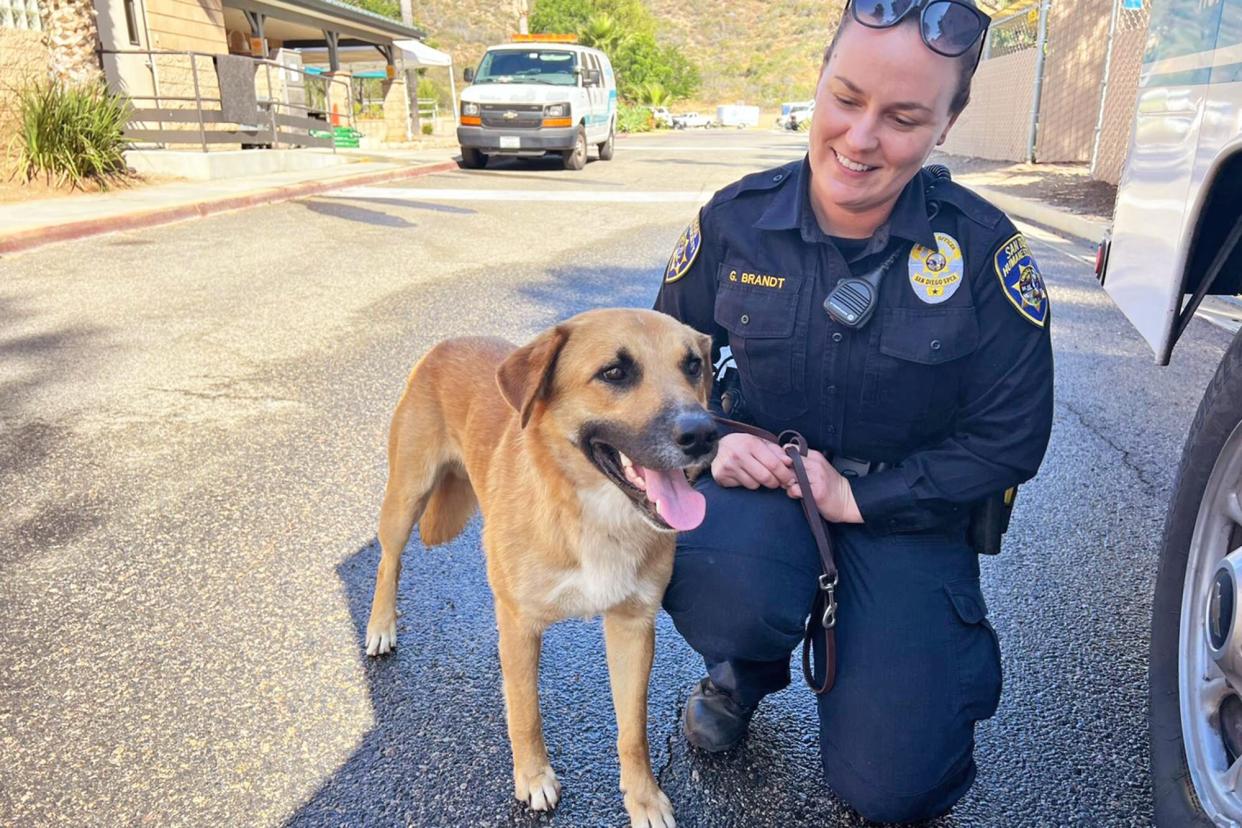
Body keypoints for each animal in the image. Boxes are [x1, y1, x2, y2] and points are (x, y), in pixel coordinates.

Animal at [365, 307, 720, 824]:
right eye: (615, 372)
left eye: (693, 365)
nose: (704, 434)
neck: (591, 511)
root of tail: (446, 343)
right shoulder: (521, 625)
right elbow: (526, 713)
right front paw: (533, 778)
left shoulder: (632, 626)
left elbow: (633, 729)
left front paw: (644, 798)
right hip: (406, 497)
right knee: (388, 560)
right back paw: (380, 625)